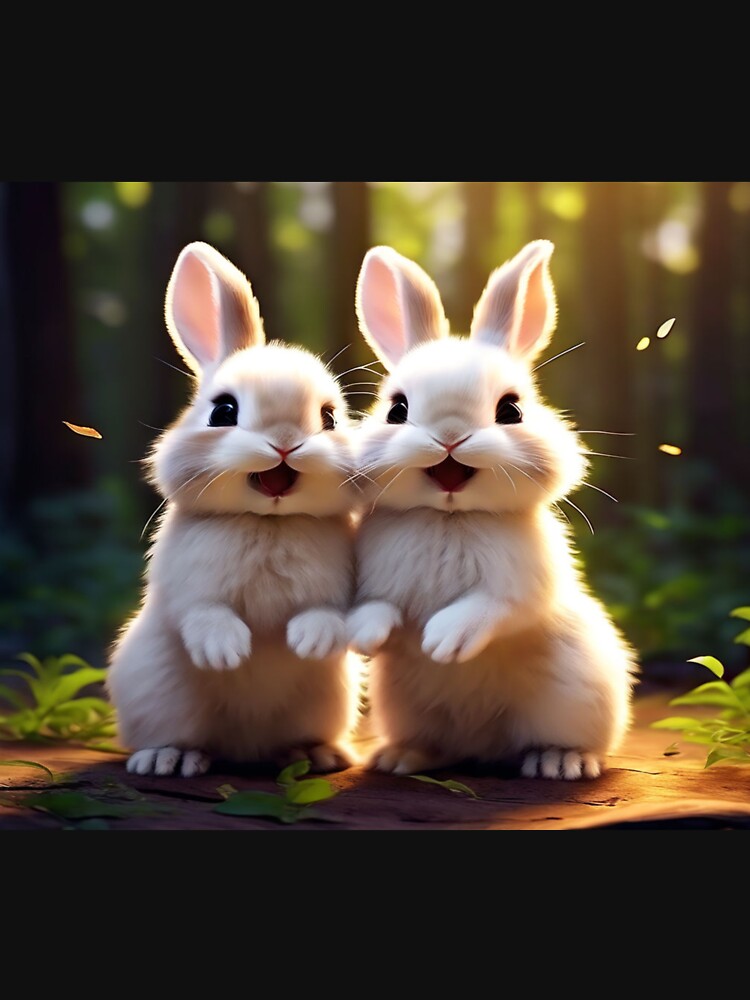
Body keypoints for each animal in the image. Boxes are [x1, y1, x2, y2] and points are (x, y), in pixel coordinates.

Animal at [106, 241, 363, 778]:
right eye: (223, 412)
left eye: (330, 418)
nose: (285, 443)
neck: (268, 521)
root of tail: (244, 750)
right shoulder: (190, 588)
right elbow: (204, 613)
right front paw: (227, 652)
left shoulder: (336, 588)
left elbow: (325, 612)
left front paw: (309, 641)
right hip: (162, 693)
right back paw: (169, 759)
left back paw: (316, 755)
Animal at [347, 239, 638, 780]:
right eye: (396, 410)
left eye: (511, 410)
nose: (449, 436)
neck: (450, 517)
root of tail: (483, 747)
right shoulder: (374, 580)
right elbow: (376, 606)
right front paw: (364, 636)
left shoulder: (520, 585)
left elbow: (491, 607)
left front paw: (442, 641)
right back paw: (400, 758)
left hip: (574, 698)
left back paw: (560, 762)